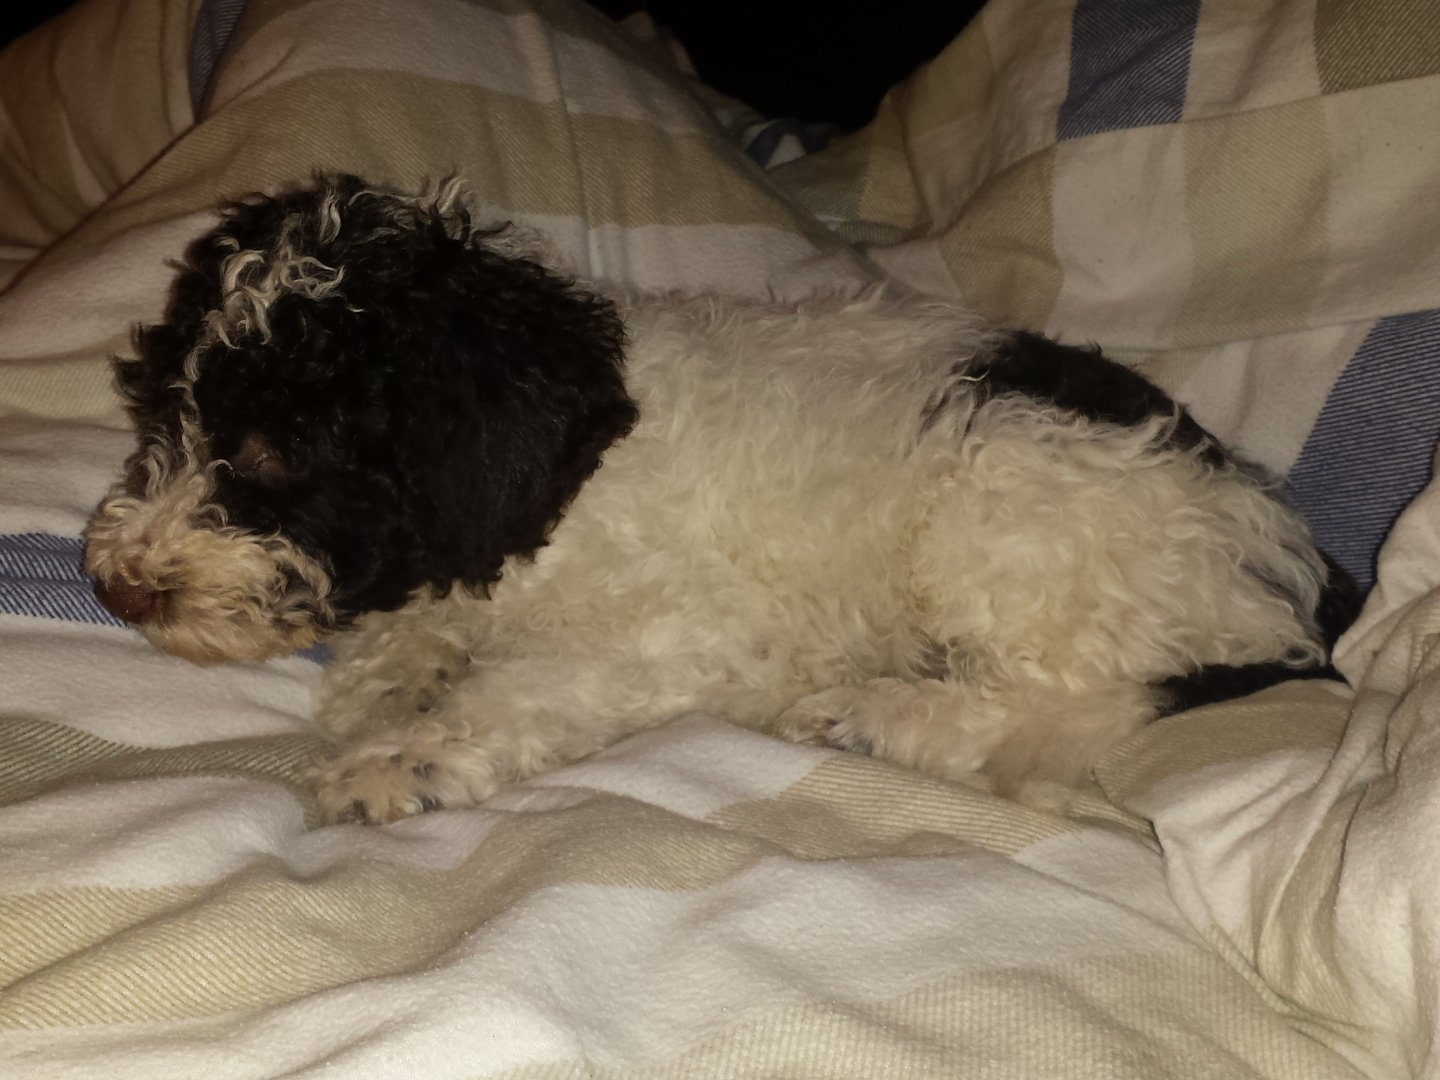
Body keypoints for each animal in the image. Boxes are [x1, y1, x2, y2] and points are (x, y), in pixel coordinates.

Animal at [85, 175, 1355, 823]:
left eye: (277, 453)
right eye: (159, 417)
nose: (118, 589)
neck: (570, 467)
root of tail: (1281, 563)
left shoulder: (672, 632)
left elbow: (522, 692)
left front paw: (400, 758)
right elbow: (415, 635)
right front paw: (385, 688)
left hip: (1011, 508)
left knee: (1089, 705)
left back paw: (882, 715)